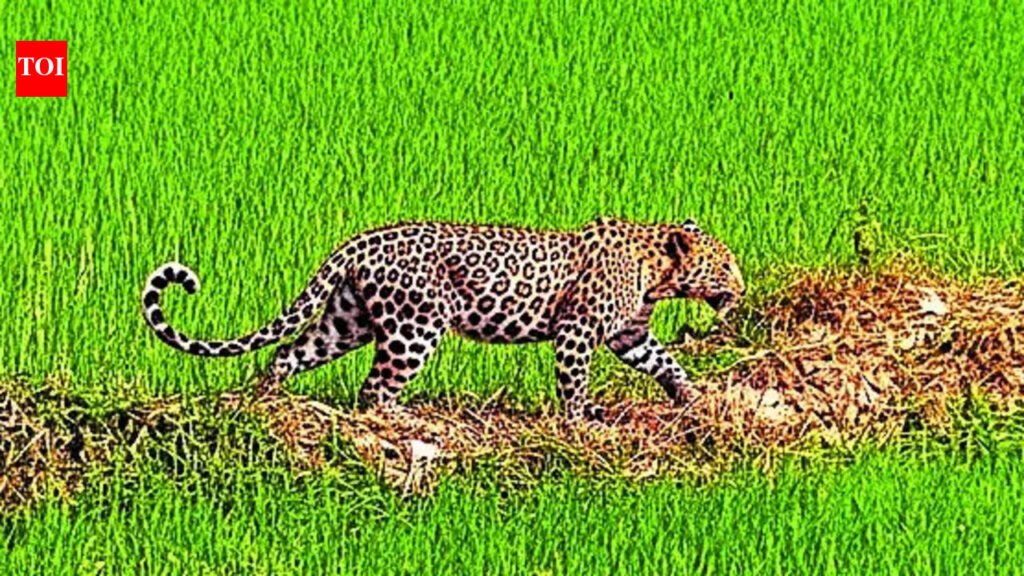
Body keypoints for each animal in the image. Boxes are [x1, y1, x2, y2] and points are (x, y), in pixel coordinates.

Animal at [141, 217, 745, 421]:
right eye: (724, 265)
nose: (741, 289)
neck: (657, 272)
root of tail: (360, 239)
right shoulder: (576, 333)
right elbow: (574, 383)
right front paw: (580, 422)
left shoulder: (629, 334)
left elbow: (663, 361)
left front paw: (691, 398)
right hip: (414, 328)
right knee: (375, 388)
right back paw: (399, 420)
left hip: (348, 320)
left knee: (289, 352)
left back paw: (266, 401)